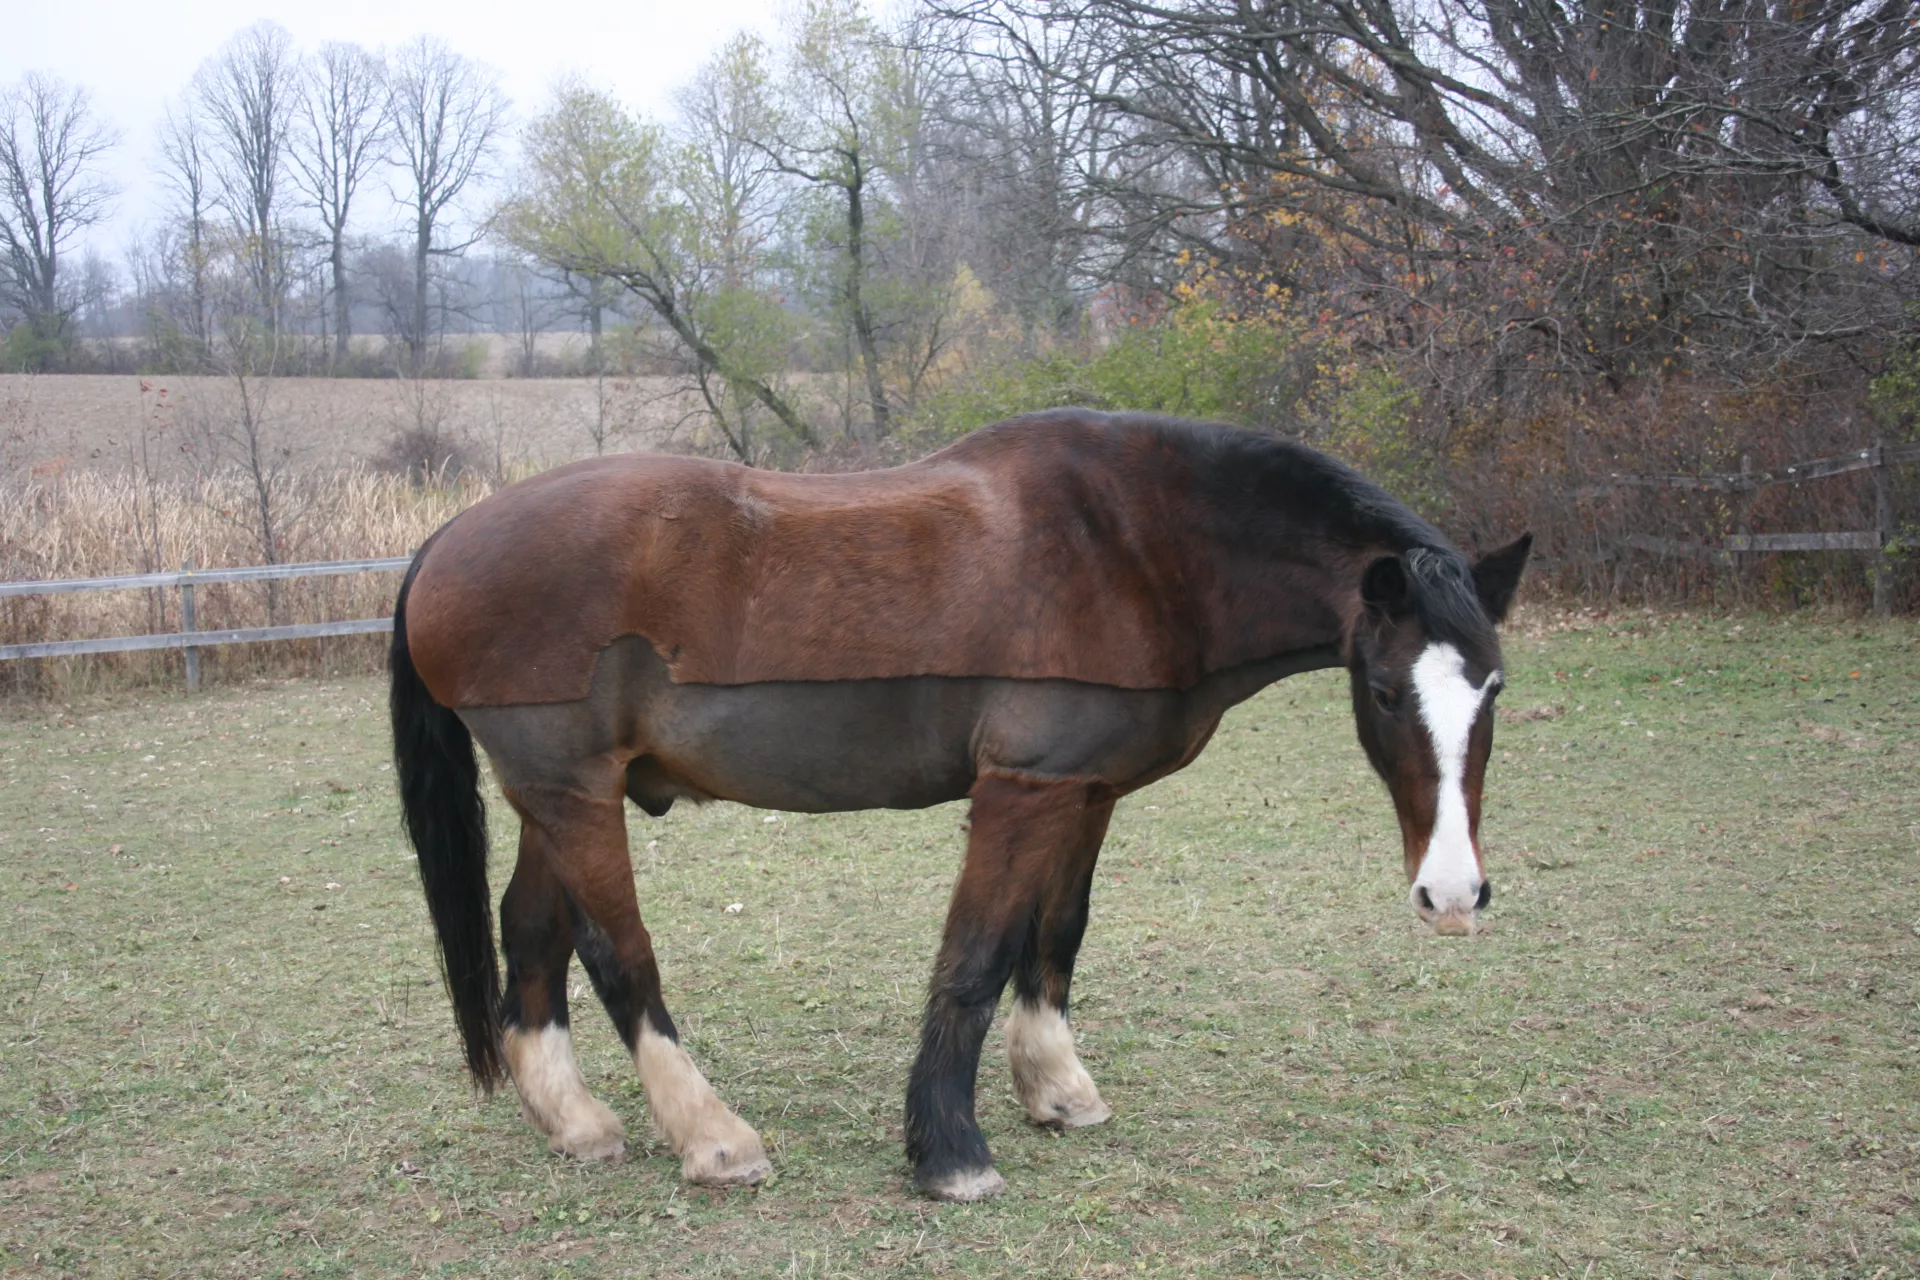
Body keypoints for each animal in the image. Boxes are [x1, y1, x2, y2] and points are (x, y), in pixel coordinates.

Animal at [385, 410, 1528, 1205]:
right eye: (1386, 692)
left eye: (1494, 687)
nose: (1454, 894)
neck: (1138, 544)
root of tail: (447, 537)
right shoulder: (1021, 790)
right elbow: (975, 958)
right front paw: (950, 1151)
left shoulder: (1083, 790)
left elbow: (1054, 937)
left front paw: (1056, 1087)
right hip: (575, 795)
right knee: (620, 957)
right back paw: (713, 1137)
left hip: (560, 793)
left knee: (533, 936)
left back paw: (576, 1123)